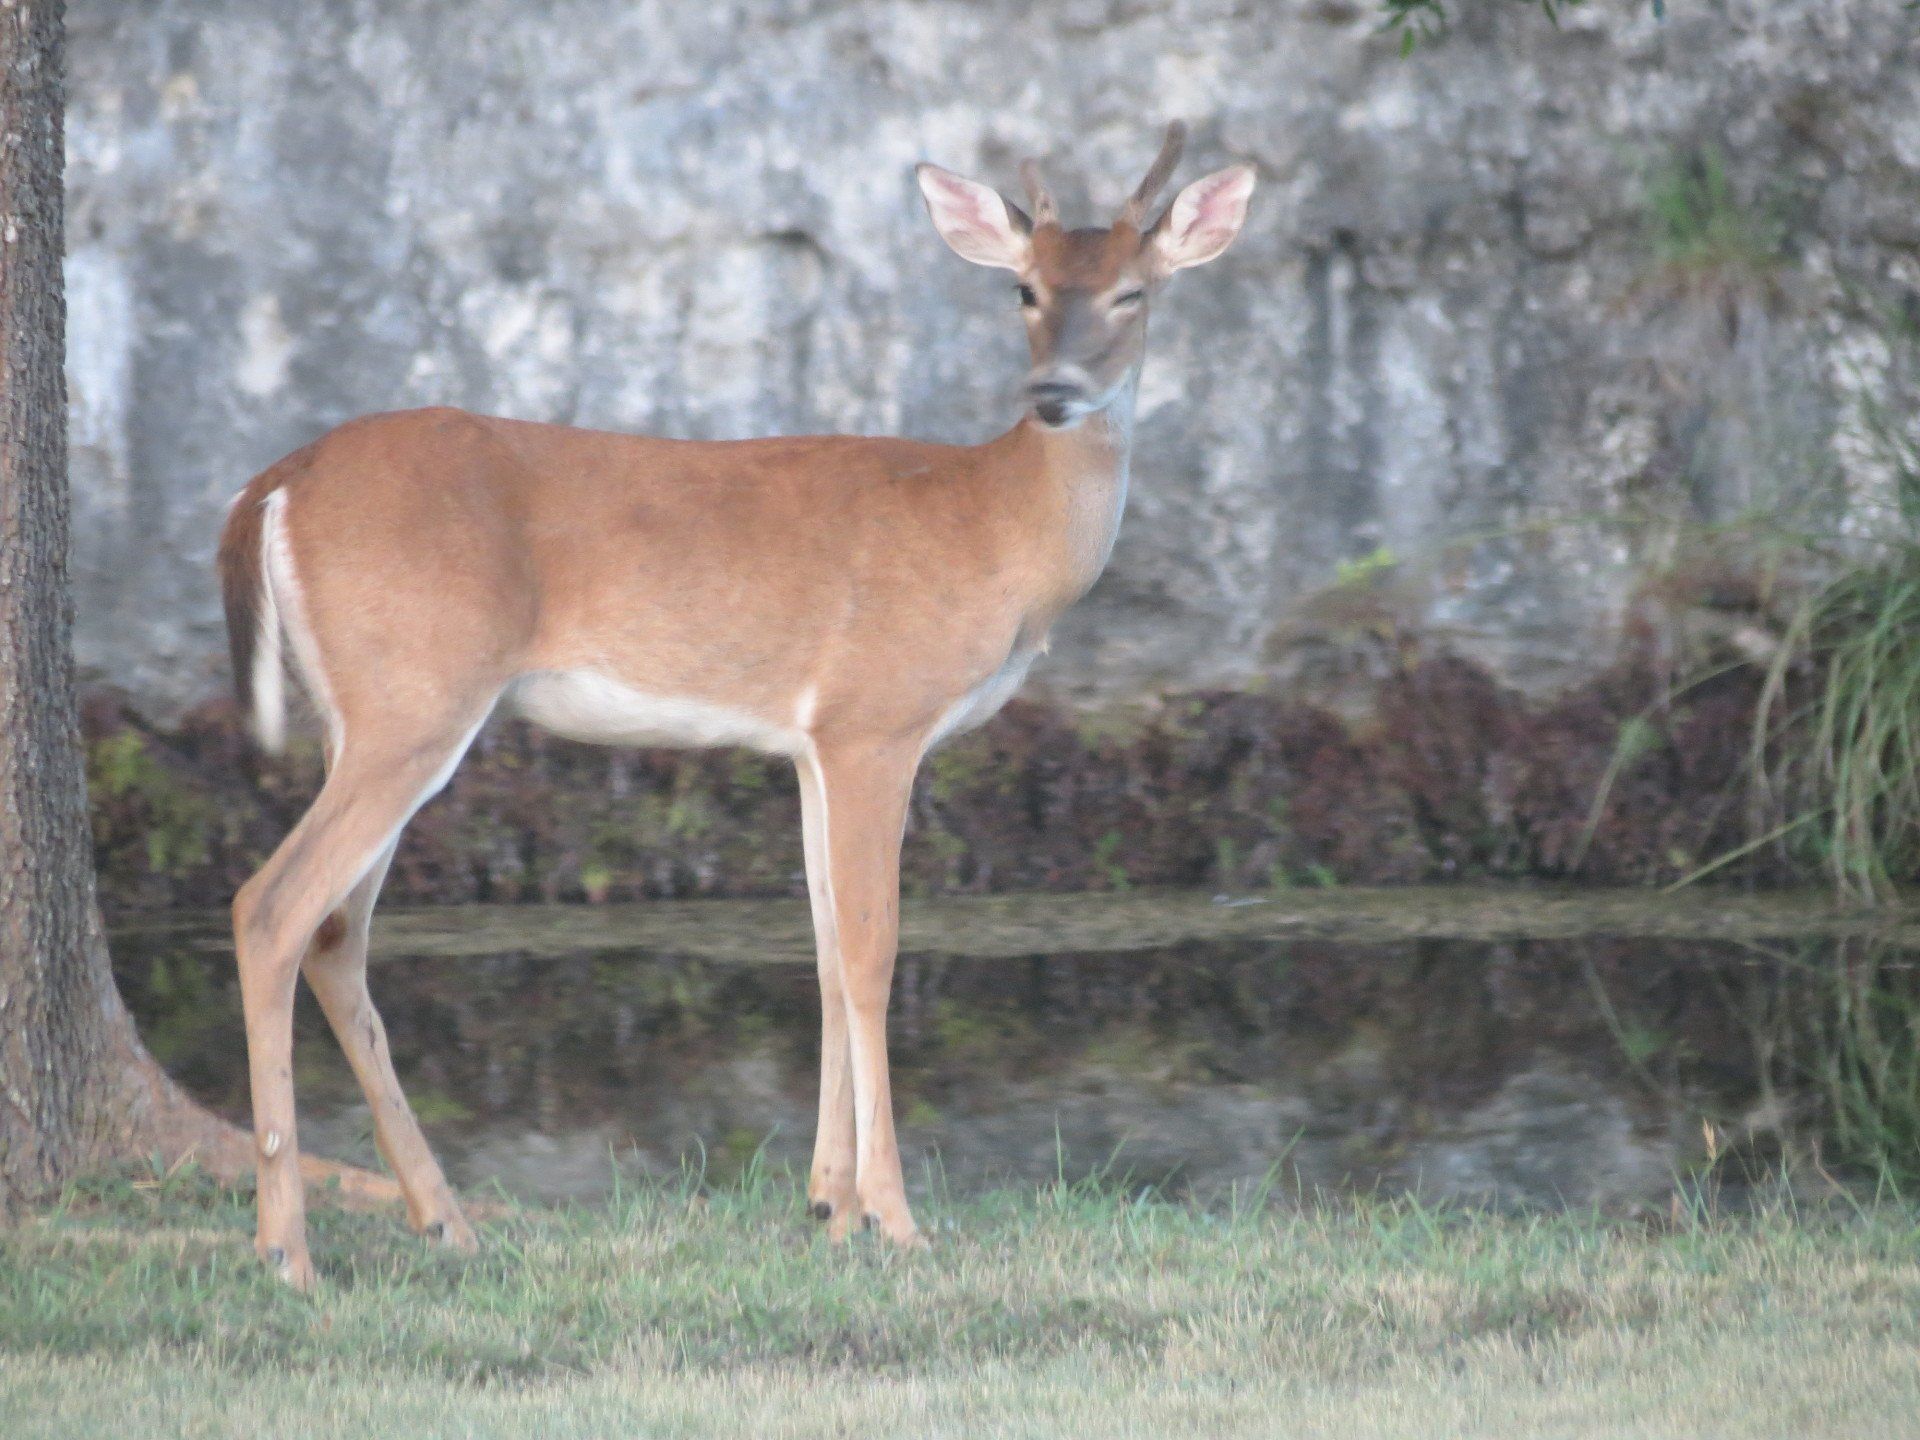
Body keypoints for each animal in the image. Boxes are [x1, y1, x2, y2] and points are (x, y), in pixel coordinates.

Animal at [215, 122, 1254, 1289]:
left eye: (1132, 292)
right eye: (1023, 289)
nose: (1056, 393)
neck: (997, 532)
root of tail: (274, 483)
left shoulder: (809, 744)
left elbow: (823, 948)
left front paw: (828, 1205)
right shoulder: (876, 719)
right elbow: (874, 950)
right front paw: (896, 1218)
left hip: (370, 710)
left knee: (336, 934)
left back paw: (446, 1220)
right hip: (416, 695)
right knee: (272, 907)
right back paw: (287, 1247)